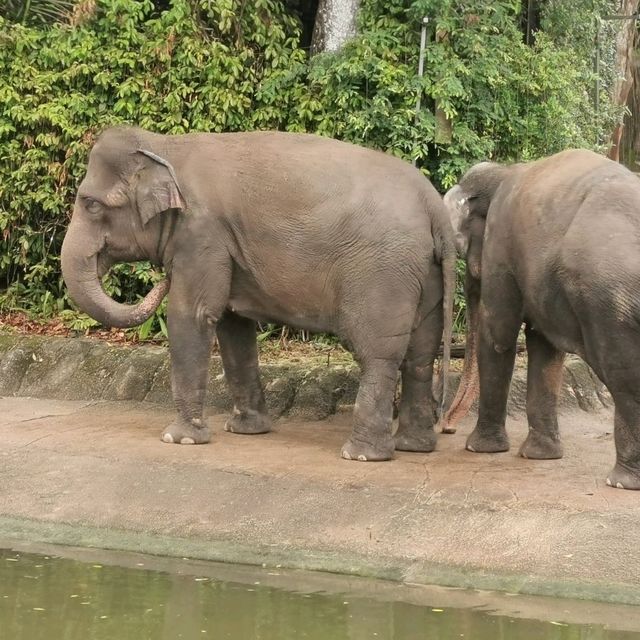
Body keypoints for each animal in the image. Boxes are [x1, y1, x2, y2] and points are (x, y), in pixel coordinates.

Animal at [60, 127, 458, 462]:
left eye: (91, 204)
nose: (160, 281)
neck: (166, 145)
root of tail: (433, 205)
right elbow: (233, 326)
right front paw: (246, 430)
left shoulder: (201, 235)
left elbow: (192, 315)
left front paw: (180, 438)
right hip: (426, 273)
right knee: (420, 355)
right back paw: (414, 447)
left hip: (383, 273)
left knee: (379, 353)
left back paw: (361, 455)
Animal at [442, 150, 640, 490]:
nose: (447, 429)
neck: (504, 170)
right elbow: (545, 347)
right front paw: (539, 456)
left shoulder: (500, 246)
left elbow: (499, 336)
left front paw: (479, 448)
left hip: (611, 300)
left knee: (623, 375)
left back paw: (622, 482)